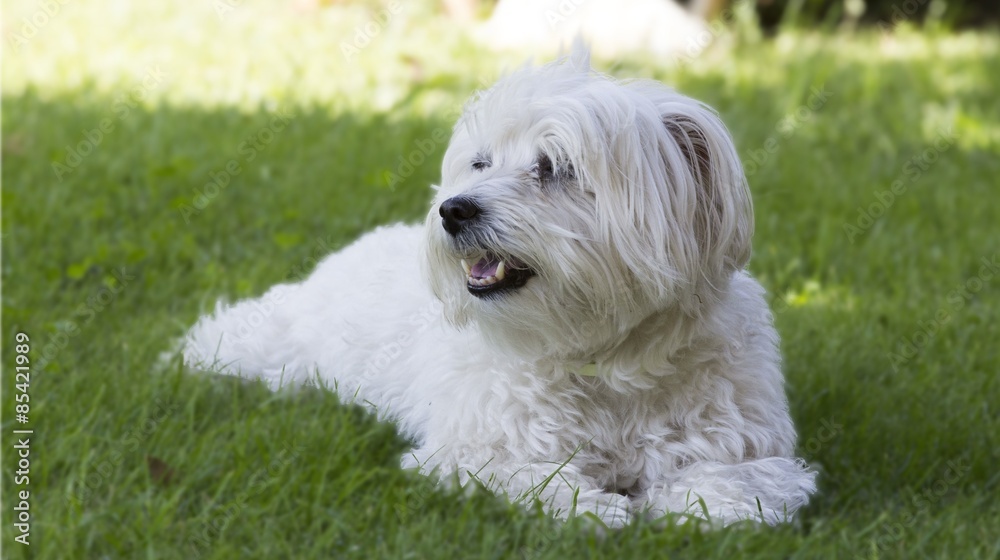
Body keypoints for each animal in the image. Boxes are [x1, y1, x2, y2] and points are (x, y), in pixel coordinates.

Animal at [184, 50, 816, 528]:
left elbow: (729, 487)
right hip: (272, 352)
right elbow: (530, 475)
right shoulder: (469, 453)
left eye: (556, 167)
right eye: (481, 163)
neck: (600, 360)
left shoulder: (748, 448)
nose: (453, 210)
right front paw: (595, 507)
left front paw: (686, 505)